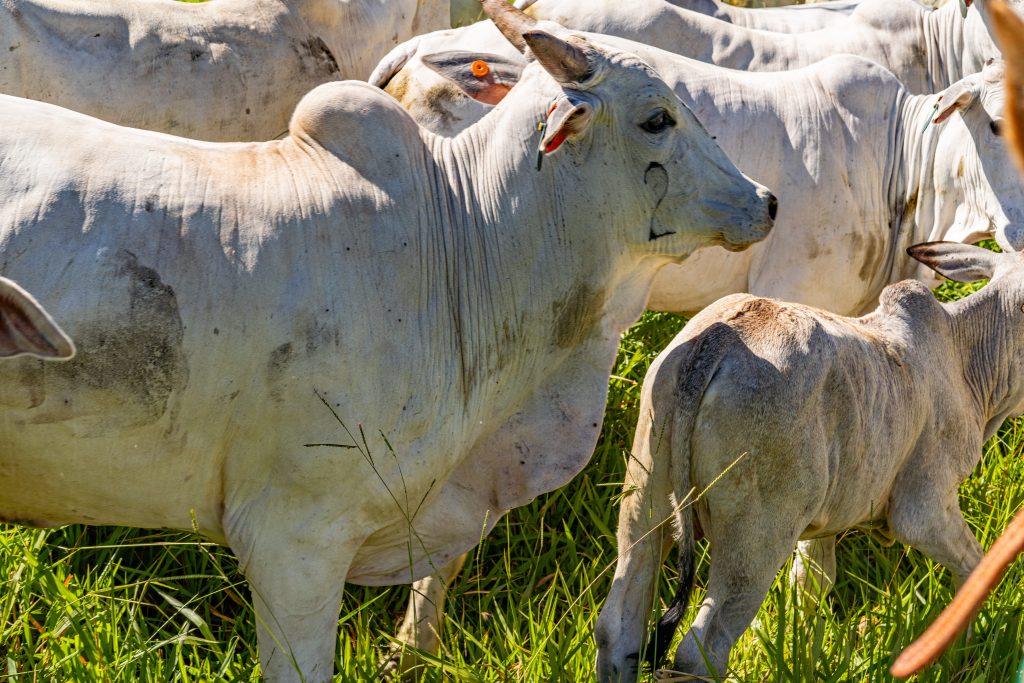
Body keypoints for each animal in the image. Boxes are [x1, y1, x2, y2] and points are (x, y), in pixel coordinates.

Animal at [595, 241, 1024, 682]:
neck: (963, 357)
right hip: (755, 541)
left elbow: (811, 588)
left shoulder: (822, 525)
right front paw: (963, 658)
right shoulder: (923, 509)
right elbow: (974, 567)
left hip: (644, 504)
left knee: (617, 628)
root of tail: (719, 339)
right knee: (699, 651)